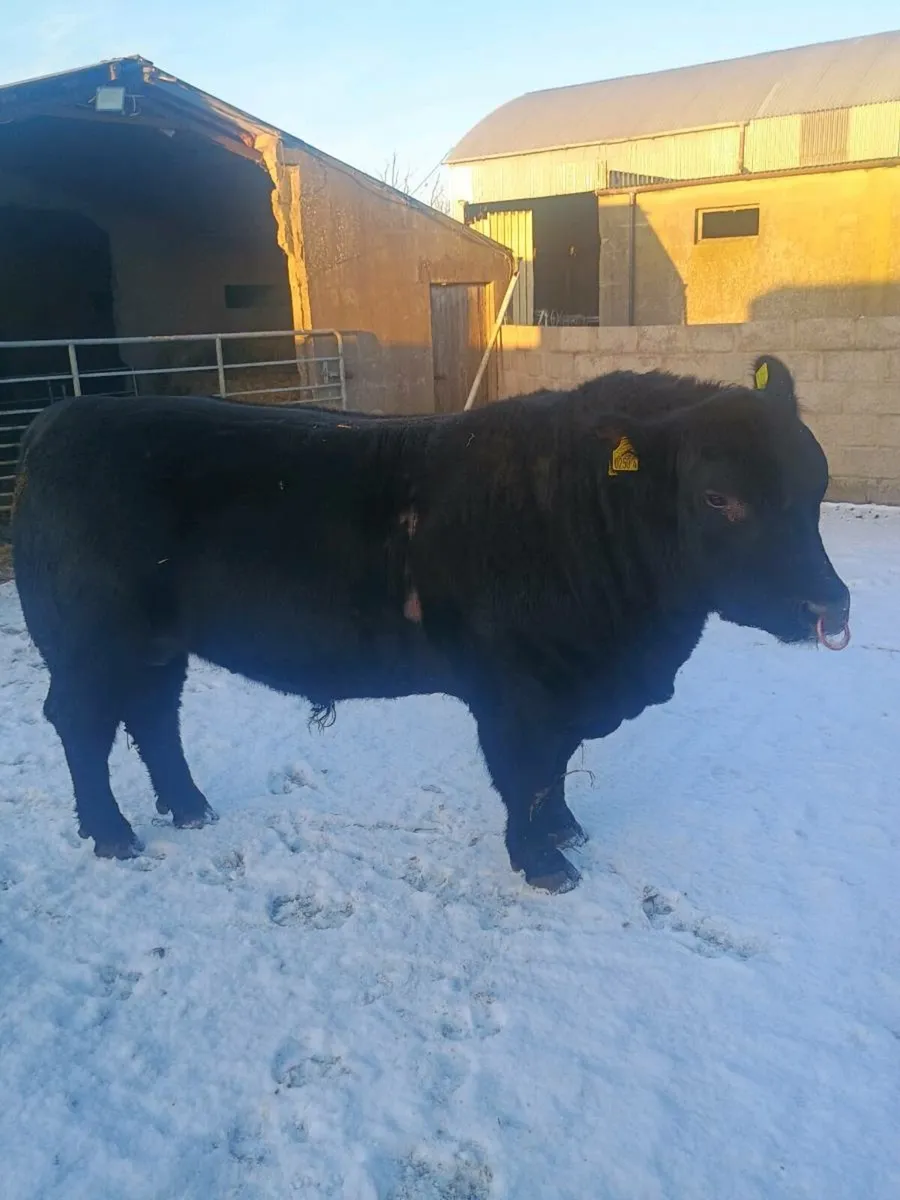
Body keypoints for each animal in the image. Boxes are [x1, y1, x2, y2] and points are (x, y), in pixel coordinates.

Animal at [11, 356, 850, 894]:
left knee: (153, 715)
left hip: (158, 645)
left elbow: (554, 772)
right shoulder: (517, 691)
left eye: (817, 483)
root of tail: (65, 415)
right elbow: (526, 776)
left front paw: (567, 831)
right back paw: (113, 834)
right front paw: (545, 865)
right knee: (82, 722)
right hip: (88, 643)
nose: (829, 607)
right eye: (718, 497)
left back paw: (190, 808)